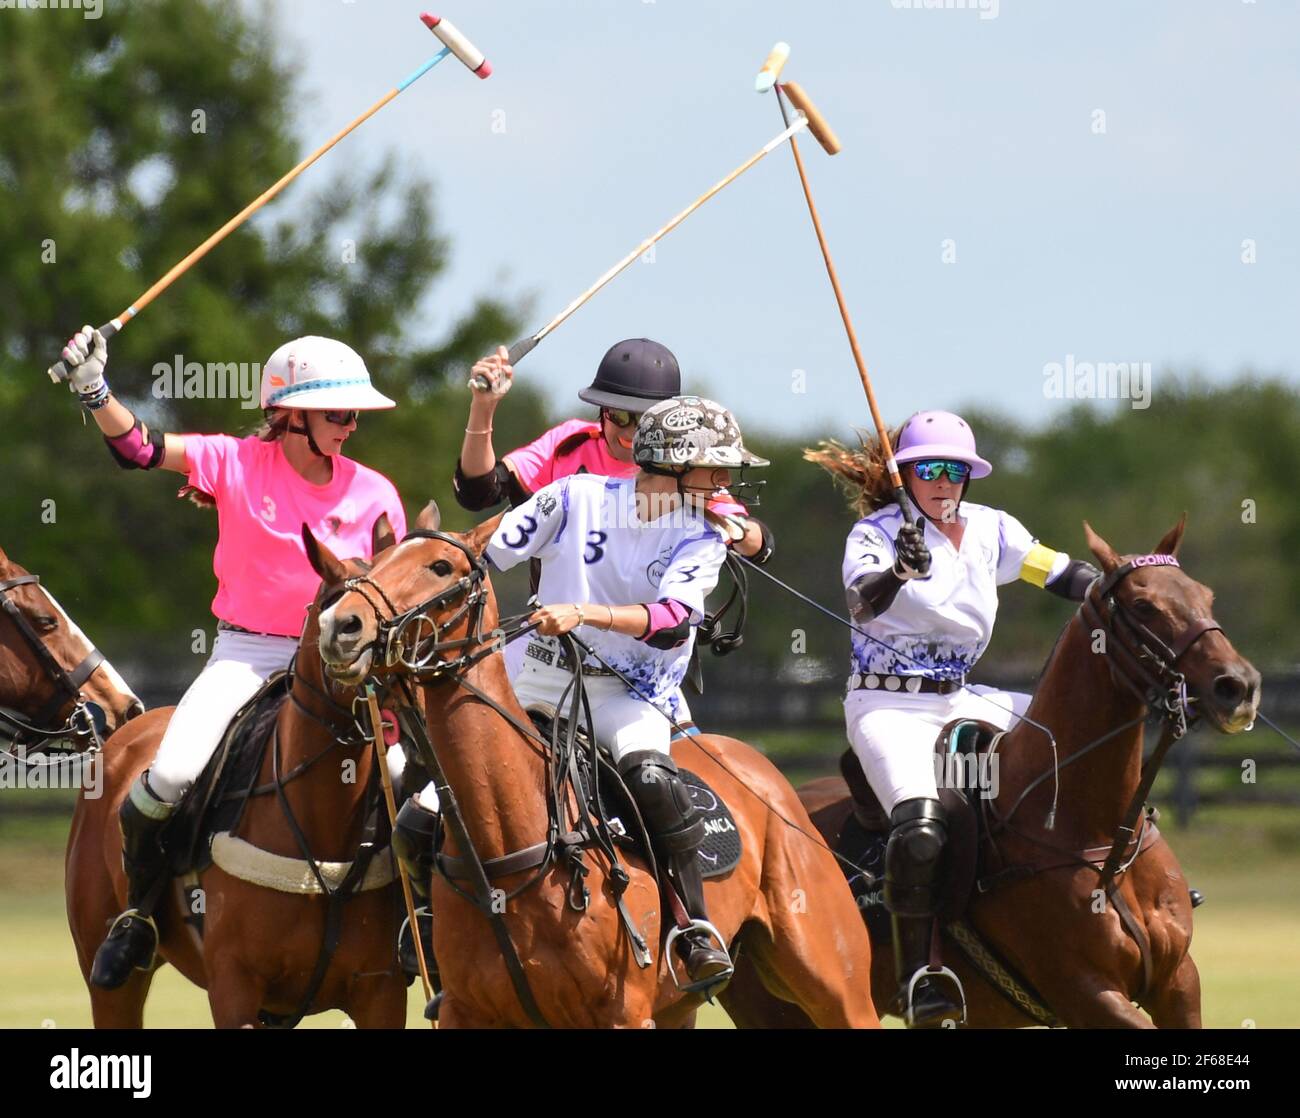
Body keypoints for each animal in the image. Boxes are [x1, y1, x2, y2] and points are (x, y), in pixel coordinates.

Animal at [314, 506, 883, 1029]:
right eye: (377, 561)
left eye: (440, 567)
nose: (340, 626)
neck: (508, 841)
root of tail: (757, 765)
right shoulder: (464, 1011)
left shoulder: (622, 1013)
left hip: (835, 980)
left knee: (654, 781)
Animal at [722, 522, 1258, 1029]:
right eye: (1144, 606)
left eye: (1205, 595)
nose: (1239, 686)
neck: (1100, 833)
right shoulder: (1087, 995)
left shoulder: (1178, 982)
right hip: (779, 1005)